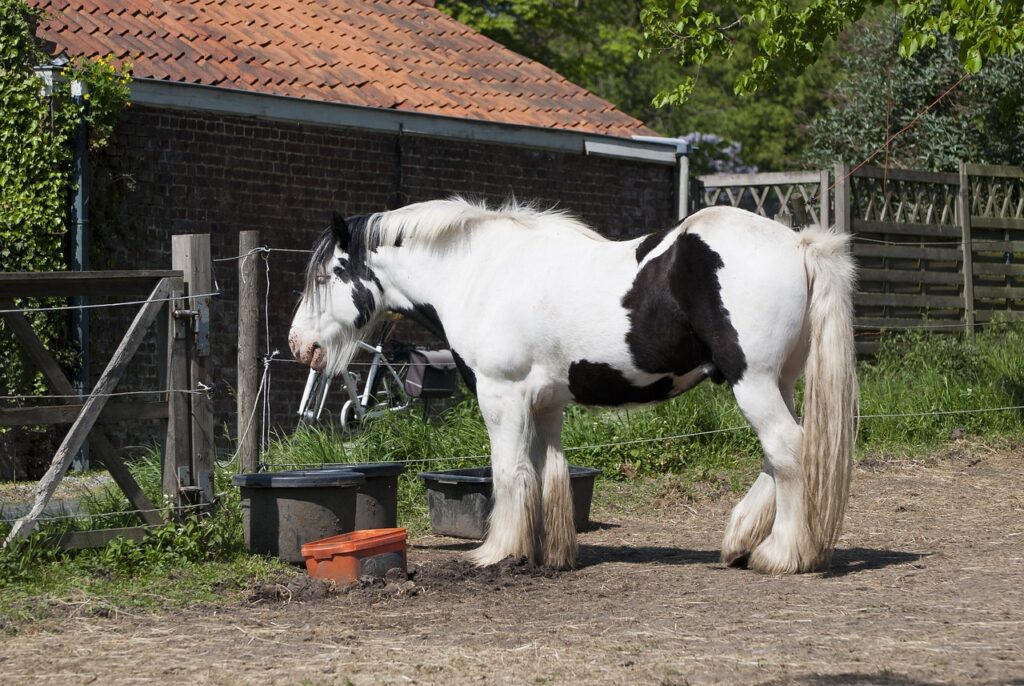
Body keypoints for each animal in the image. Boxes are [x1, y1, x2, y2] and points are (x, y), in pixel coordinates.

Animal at [289, 198, 858, 574]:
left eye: (323, 278)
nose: (299, 345)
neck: (478, 273)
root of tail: (799, 243)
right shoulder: (543, 403)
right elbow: (547, 472)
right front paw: (550, 554)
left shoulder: (500, 395)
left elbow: (509, 472)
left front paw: (498, 551)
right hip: (778, 381)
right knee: (782, 454)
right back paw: (740, 539)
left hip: (753, 382)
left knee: (788, 449)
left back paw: (780, 554)